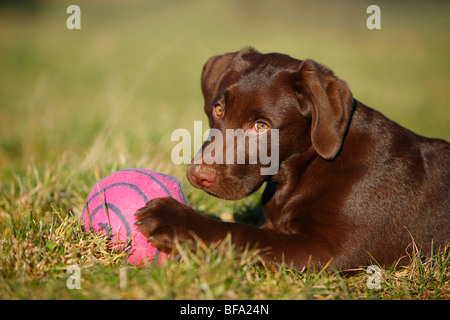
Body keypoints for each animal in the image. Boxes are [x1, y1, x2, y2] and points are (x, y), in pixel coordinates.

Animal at [136, 48, 450, 270]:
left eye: (261, 126)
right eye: (218, 109)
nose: (197, 175)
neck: (303, 170)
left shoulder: (328, 252)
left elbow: (241, 233)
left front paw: (172, 218)